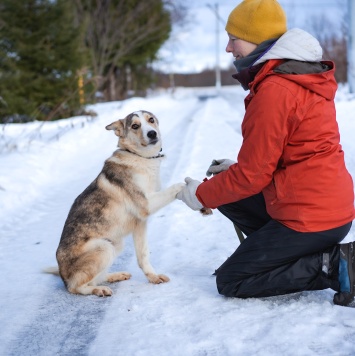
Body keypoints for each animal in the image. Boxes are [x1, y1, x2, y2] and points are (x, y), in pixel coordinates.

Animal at [44, 110, 185, 296]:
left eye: (151, 120)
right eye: (135, 126)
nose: (152, 133)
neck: (140, 157)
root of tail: (62, 274)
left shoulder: (140, 224)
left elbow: (143, 256)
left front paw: (153, 278)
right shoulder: (146, 205)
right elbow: (176, 186)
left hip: (115, 244)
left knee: (94, 278)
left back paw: (115, 276)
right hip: (104, 248)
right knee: (76, 287)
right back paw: (99, 290)